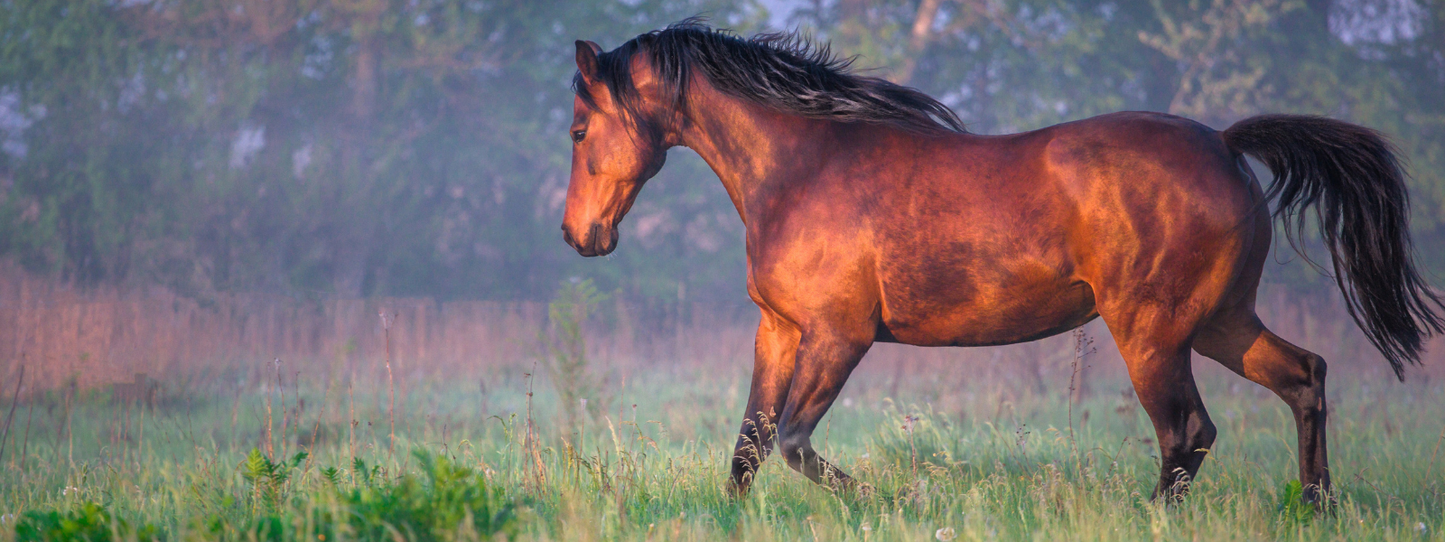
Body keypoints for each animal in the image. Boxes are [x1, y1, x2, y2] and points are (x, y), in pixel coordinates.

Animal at [559, 21, 1444, 504]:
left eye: (576, 129)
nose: (577, 236)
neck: (802, 166)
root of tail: (1225, 145)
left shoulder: (839, 335)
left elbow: (795, 444)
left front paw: (900, 497)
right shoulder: (778, 330)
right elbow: (749, 443)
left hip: (1152, 331)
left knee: (1187, 432)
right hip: (1221, 320)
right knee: (1303, 378)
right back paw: (1317, 508)